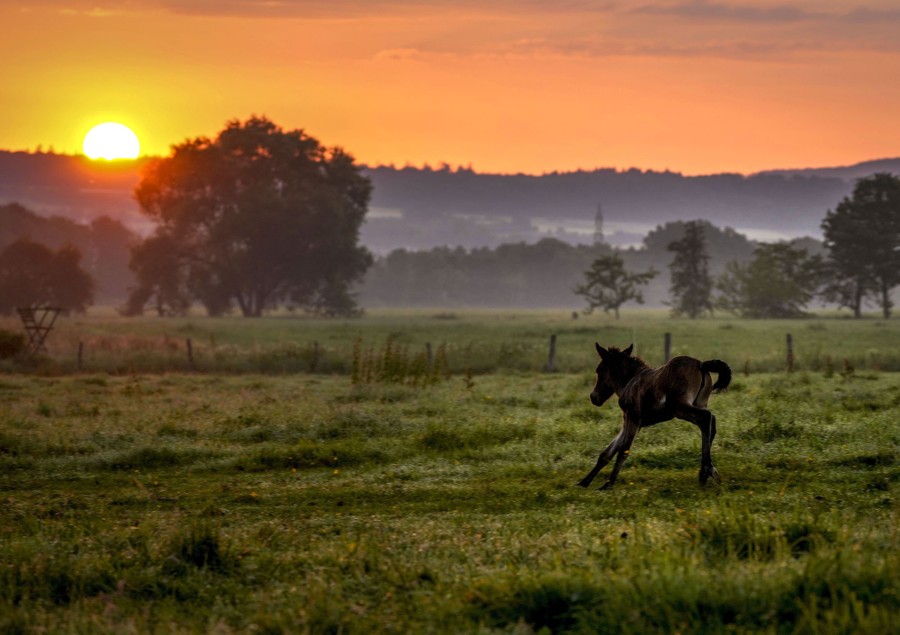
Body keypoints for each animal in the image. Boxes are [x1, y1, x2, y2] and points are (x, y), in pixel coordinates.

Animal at [578, 343, 732, 489]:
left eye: (599, 370)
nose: (594, 397)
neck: (630, 381)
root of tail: (701, 365)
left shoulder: (633, 418)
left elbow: (623, 450)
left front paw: (608, 485)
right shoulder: (629, 421)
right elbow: (607, 452)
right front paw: (584, 482)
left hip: (680, 408)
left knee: (706, 418)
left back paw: (706, 471)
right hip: (699, 403)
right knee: (711, 422)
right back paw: (706, 471)